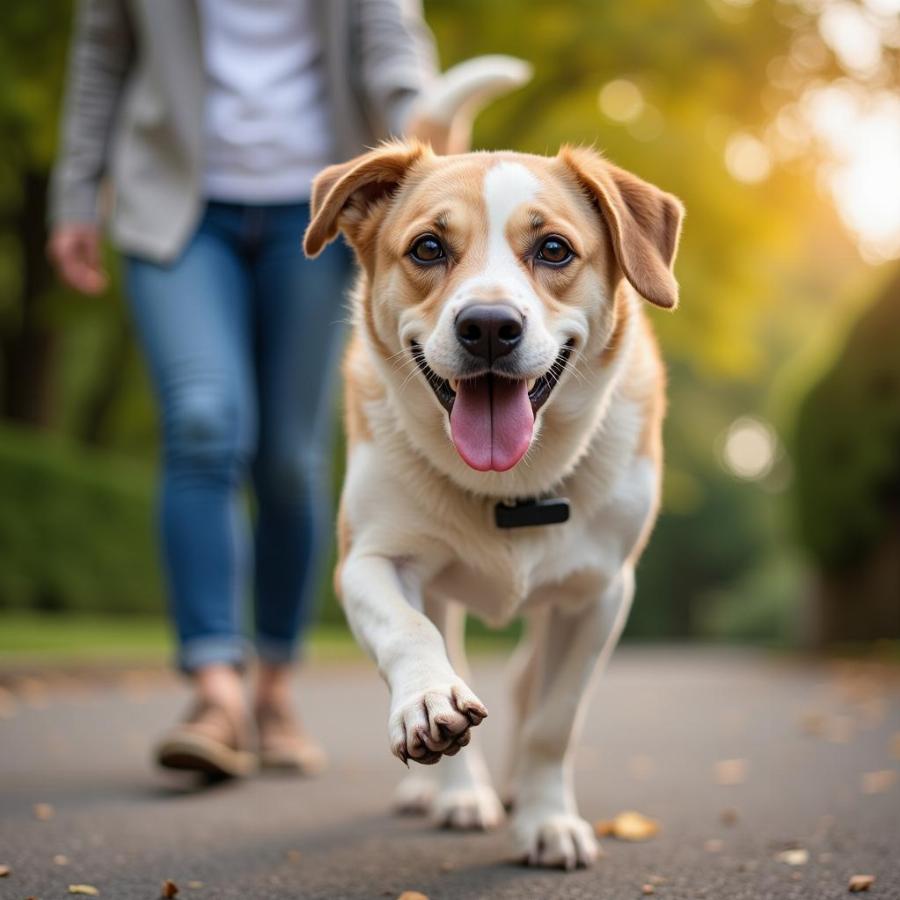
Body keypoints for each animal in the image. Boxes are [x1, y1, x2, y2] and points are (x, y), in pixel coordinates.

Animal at [304, 134, 684, 864]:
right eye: (427, 248)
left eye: (554, 249)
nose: (487, 324)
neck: (507, 487)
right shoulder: (369, 560)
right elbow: (410, 631)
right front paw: (428, 705)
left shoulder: (599, 593)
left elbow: (553, 718)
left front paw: (547, 822)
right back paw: (453, 793)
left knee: (524, 681)